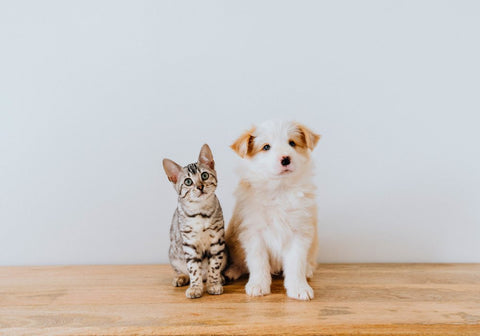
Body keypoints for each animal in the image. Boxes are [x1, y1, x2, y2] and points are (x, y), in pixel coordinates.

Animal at [163, 144, 227, 300]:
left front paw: (213, 283)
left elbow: (214, 266)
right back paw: (180, 278)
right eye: (188, 181)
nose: (200, 186)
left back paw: (219, 278)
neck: (200, 213)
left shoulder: (217, 241)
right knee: (182, 270)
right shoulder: (189, 245)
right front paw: (195, 288)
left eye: (204, 175)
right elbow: (193, 269)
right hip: (173, 253)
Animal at [223, 119, 320, 300]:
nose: (285, 159)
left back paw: (308, 270)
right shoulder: (253, 232)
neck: (279, 189)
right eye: (266, 147)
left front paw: (299, 287)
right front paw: (258, 285)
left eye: (292, 143)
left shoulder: (299, 232)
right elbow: (258, 262)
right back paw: (232, 271)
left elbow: (296, 263)